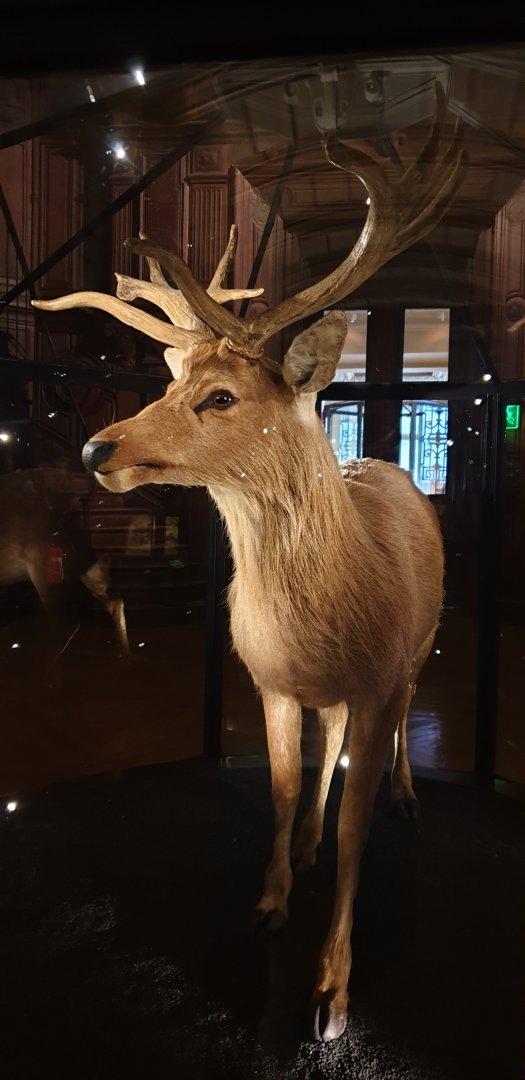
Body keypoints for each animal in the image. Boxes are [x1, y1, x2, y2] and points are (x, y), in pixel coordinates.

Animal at [33, 84, 465, 1041]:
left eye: (221, 396)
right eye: (168, 381)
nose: (94, 447)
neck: (324, 624)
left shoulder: (377, 680)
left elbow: (357, 828)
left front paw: (330, 991)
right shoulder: (268, 678)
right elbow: (279, 785)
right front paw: (270, 897)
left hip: (418, 652)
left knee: (399, 723)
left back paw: (408, 796)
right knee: (324, 740)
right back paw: (304, 844)